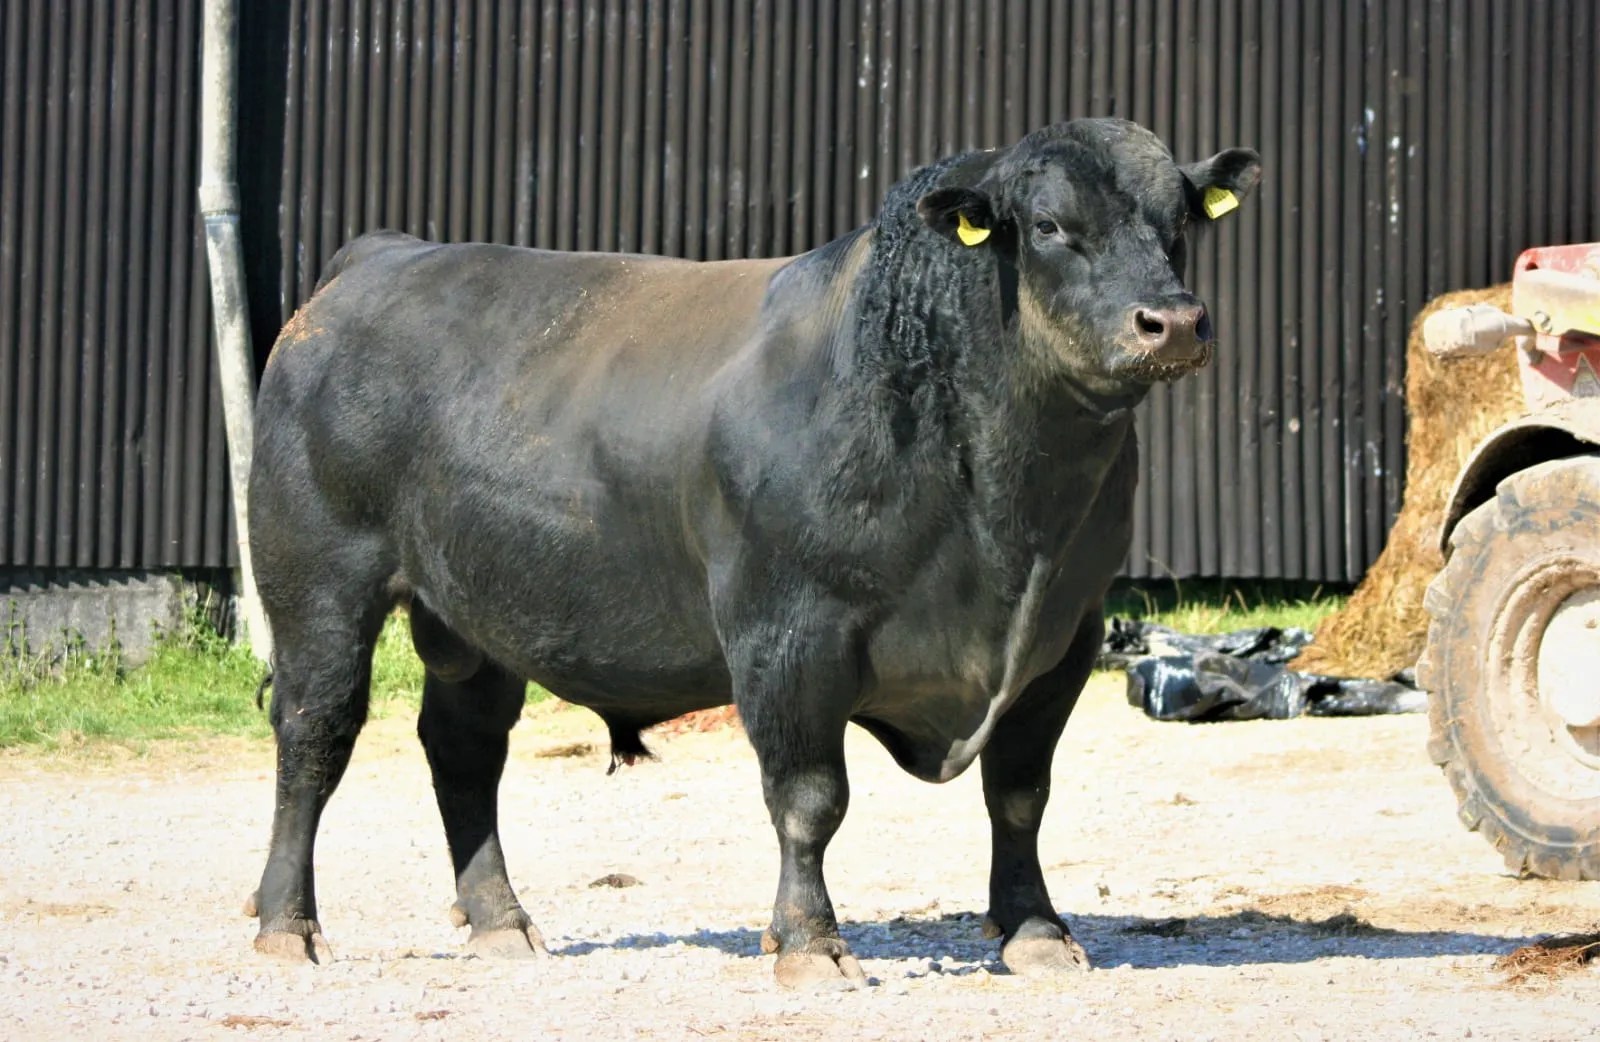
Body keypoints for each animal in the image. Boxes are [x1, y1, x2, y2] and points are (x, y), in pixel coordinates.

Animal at [245, 117, 1260, 988]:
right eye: (1050, 225)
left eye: (1178, 225)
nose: (1173, 322)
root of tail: (380, 258)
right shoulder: (787, 630)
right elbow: (810, 797)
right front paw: (810, 941)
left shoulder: (1064, 637)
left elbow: (1019, 793)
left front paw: (1038, 931)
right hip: (319, 586)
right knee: (314, 737)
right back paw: (288, 926)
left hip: (474, 616)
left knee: (462, 747)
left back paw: (500, 921)